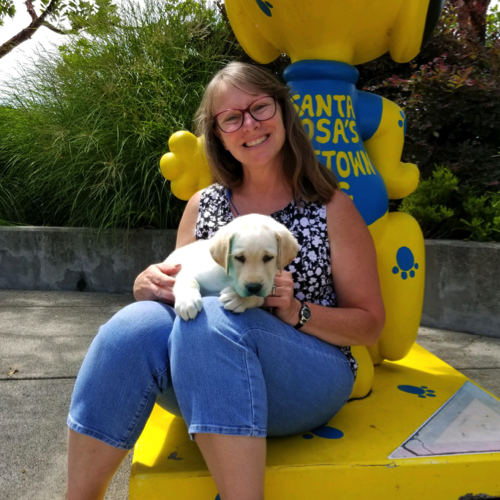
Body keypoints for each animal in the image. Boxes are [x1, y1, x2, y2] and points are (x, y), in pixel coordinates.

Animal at [165, 214, 296, 322]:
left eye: (268, 257)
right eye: (239, 257)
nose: (253, 287)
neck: (229, 278)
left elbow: (259, 298)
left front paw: (238, 298)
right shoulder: (185, 270)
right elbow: (188, 280)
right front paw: (187, 302)